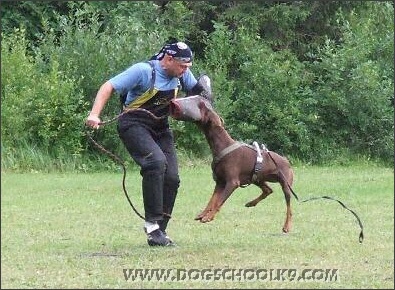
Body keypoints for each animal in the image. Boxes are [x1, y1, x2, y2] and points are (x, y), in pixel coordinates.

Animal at [172, 97, 296, 233]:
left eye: (203, 108)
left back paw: (287, 226)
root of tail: (287, 162)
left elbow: (219, 201)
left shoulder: (232, 182)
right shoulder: (220, 182)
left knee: (289, 208)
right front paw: (204, 214)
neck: (222, 145)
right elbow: (212, 200)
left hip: (285, 185)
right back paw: (251, 203)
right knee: (268, 190)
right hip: (256, 178)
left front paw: (209, 217)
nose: (202, 101)